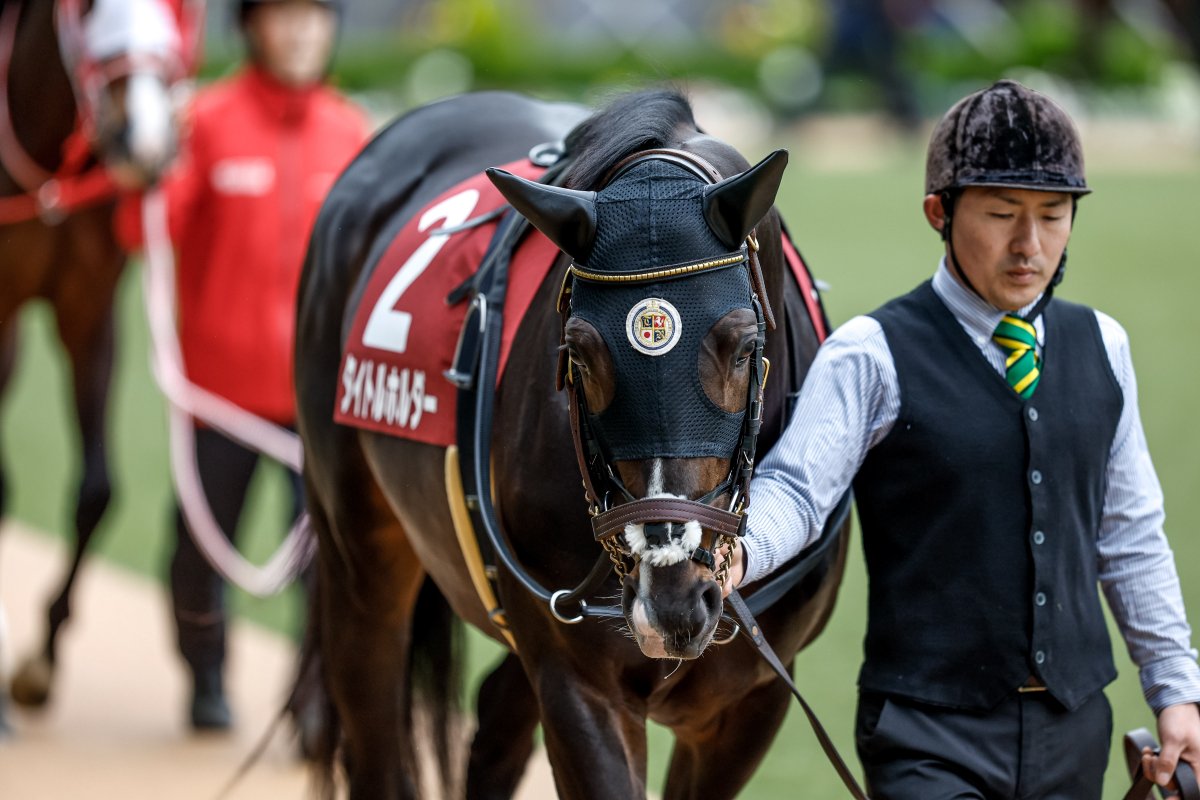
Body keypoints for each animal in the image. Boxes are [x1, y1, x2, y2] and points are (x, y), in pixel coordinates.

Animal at [294, 88, 850, 798]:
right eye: (578, 355)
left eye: (745, 347)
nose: (671, 596)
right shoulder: (579, 685)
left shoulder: (751, 703)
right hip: (358, 565)